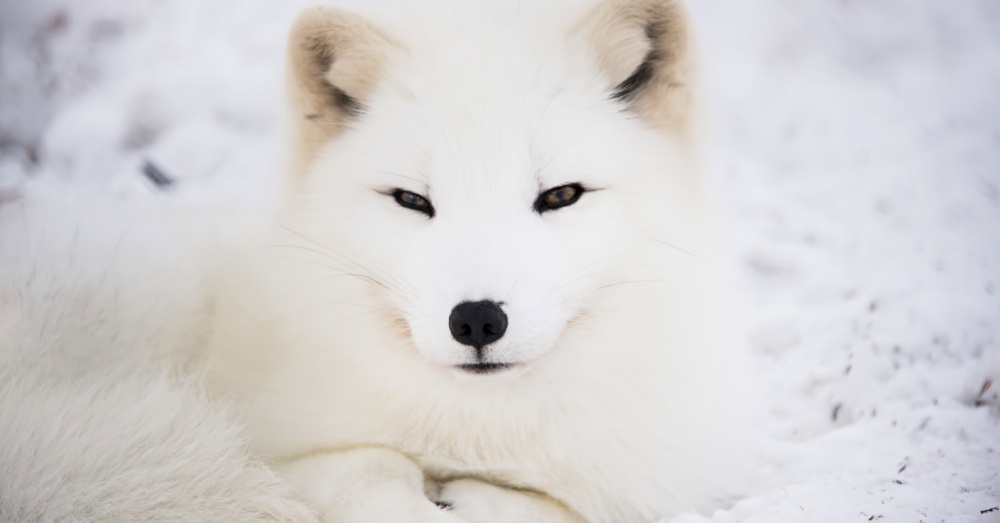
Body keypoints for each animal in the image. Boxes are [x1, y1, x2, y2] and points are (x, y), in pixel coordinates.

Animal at [205, 0, 750, 522]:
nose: (476, 320)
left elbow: (557, 510)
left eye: (561, 195)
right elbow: (362, 469)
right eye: (411, 199)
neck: (480, 431)